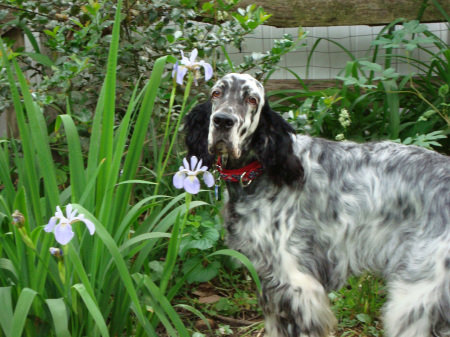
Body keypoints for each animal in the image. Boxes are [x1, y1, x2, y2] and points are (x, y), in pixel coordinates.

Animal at [184, 73, 450, 336]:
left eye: (252, 99)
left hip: (415, 299)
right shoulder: (269, 282)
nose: (222, 121)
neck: (259, 172)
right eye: (216, 93)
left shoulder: (296, 284)